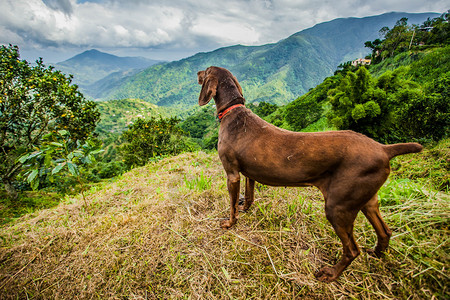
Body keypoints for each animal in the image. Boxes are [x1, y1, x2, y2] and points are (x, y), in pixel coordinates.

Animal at [196, 66, 422, 284]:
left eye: (205, 71)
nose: (197, 73)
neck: (233, 111)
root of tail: (384, 149)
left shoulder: (232, 174)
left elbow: (232, 205)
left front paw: (229, 224)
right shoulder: (249, 173)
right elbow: (249, 196)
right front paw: (245, 208)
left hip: (338, 207)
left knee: (352, 250)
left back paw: (331, 274)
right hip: (366, 199)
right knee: (384, 232)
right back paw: (376, 254)